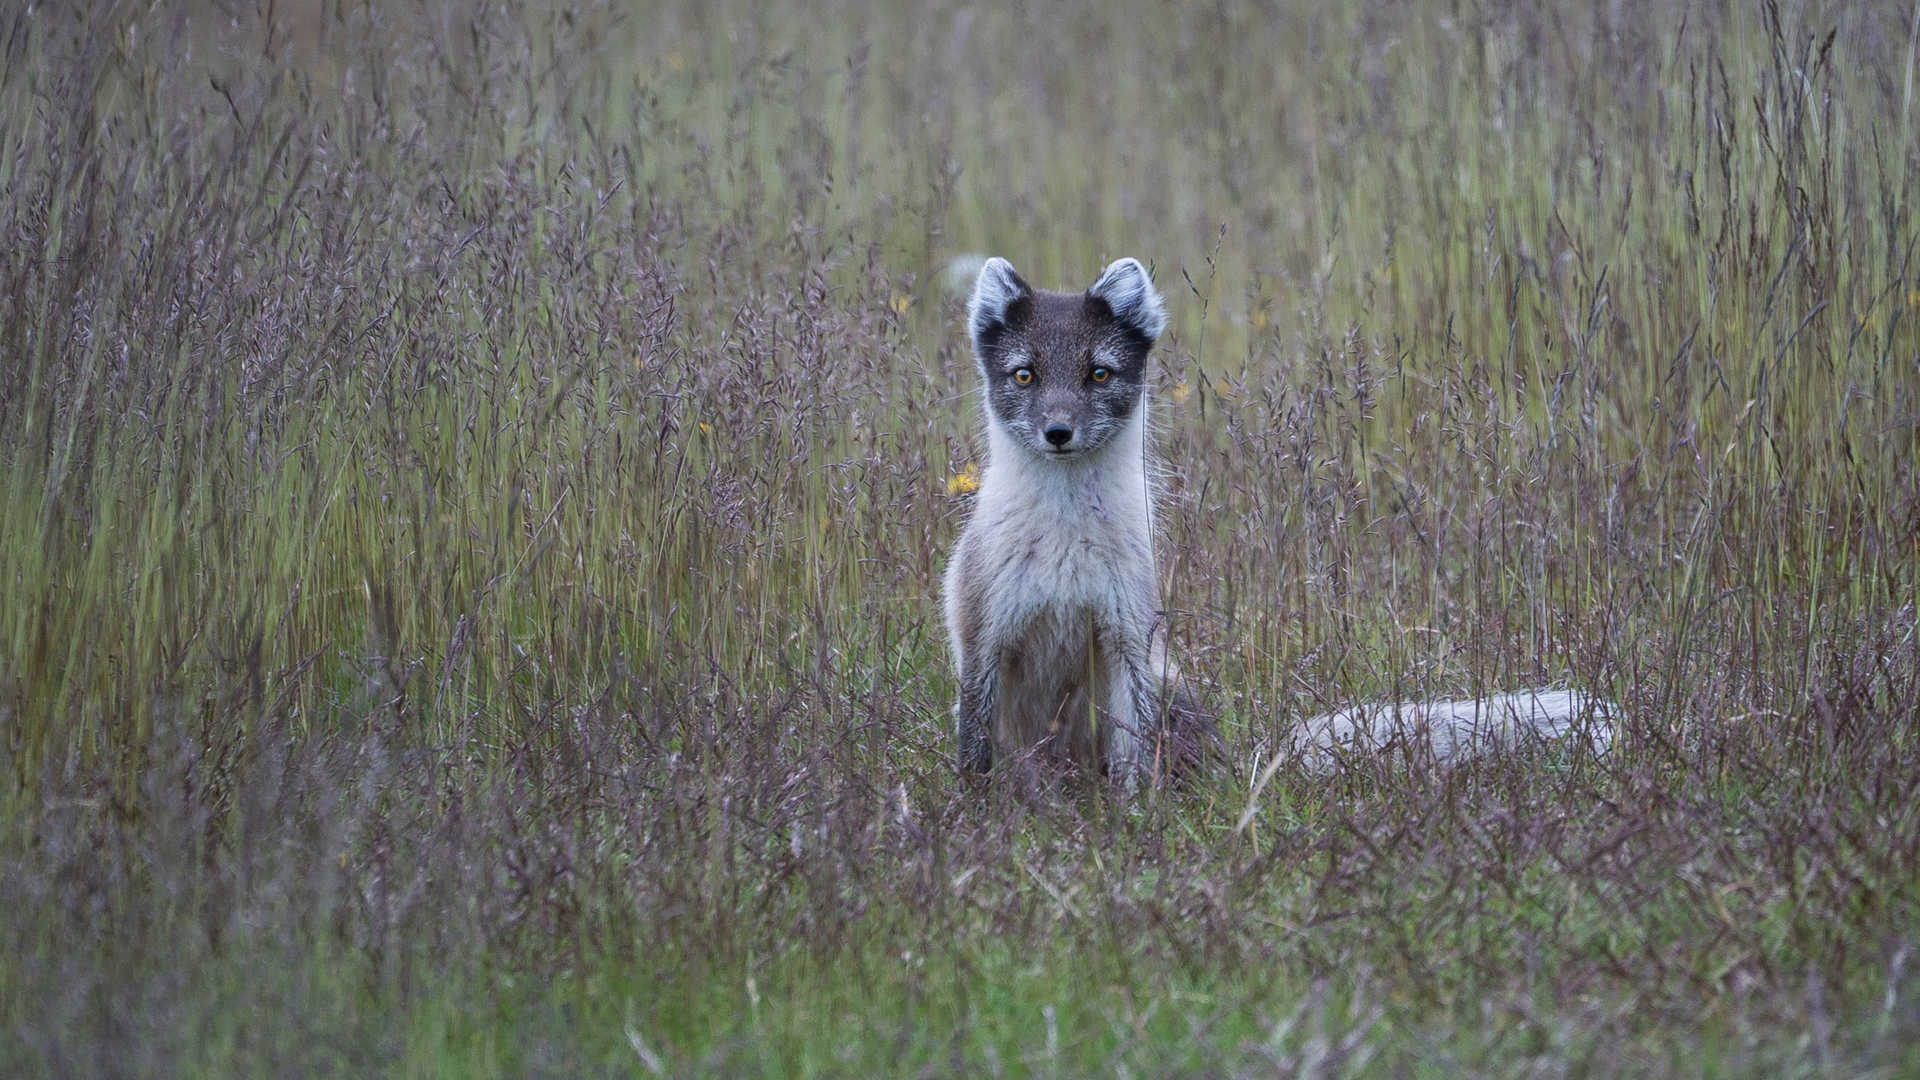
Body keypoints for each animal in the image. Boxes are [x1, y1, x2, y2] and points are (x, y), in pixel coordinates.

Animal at [944, 255, 1620, 787]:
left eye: (1098, 373)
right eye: (1025, 374)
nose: (1058, 432)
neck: (1064, 548)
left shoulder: (1128, 637)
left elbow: (1134, 756)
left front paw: (1137, 821)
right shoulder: (983, 636)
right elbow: (975, 748)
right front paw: (980, 815)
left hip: (1167, 684)